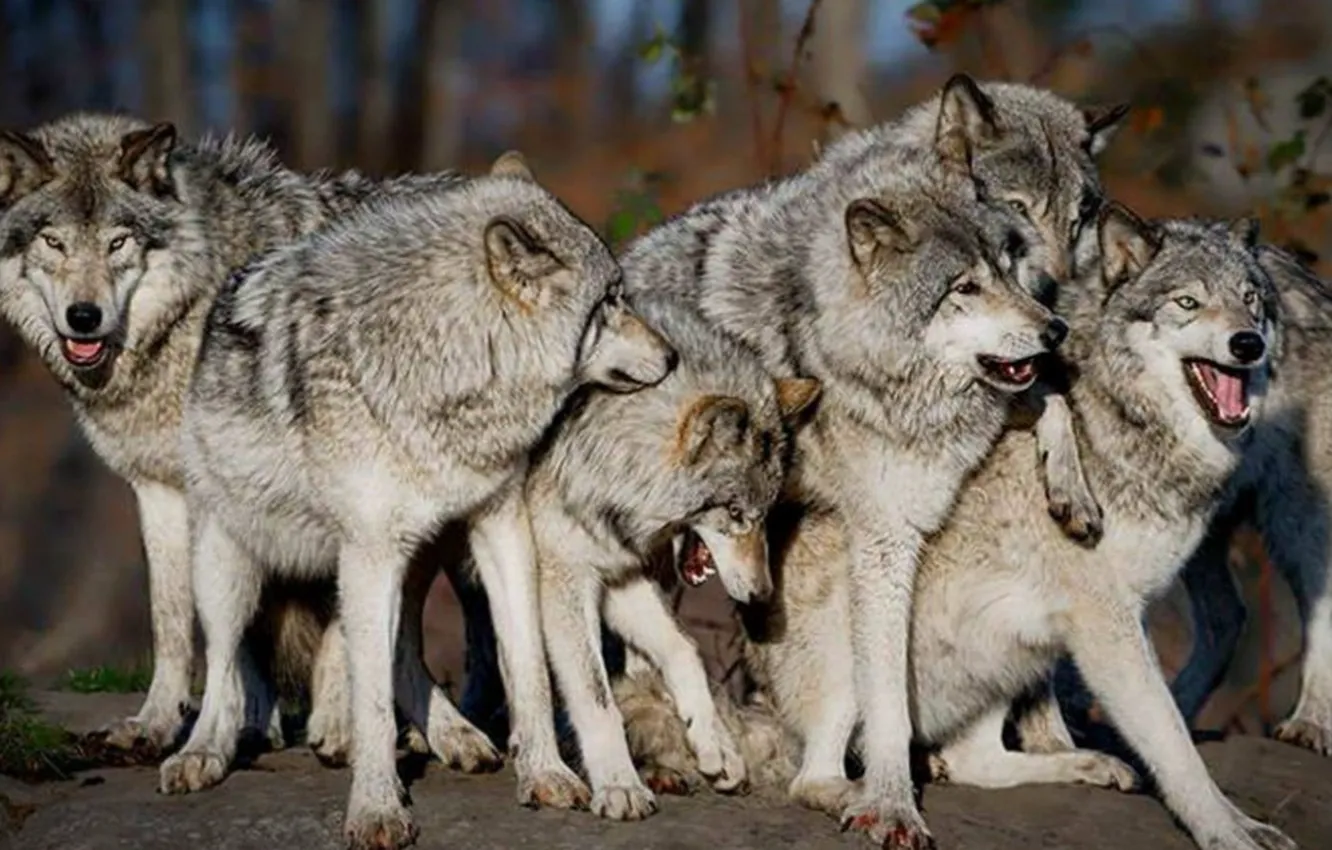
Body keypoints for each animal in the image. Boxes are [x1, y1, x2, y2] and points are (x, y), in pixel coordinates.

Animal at [0, 113, 479, 760]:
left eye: (118, 242)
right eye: (54, 242)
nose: (84, 317)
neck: (192, 310)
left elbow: (333, 615)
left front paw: (333, 724)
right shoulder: (163, 490)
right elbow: (179, 618)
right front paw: (174, 724)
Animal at [159, 157, 675, 850]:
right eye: (612, 301)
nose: (673, 355)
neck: (447, 366)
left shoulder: (501, 527)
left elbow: (527, 669)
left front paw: (545, 775)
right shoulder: (371, 552)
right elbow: (373, 703)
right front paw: (378, 809)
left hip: (413, 560)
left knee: (398, 650)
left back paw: (454, 735)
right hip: (231, 566)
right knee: (223, 665)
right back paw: (203, 753)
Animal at [519, 288, 820, 820]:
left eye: (765, 514)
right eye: (735, 513)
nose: (762, 595)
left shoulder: (618, 574)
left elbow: (684, 648)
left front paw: (715, 746)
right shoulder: (566, 580)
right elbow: (598, 699)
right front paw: (620, 785)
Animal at [624, 206, 1295, 850]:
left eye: (1252, 301)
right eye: (1188, 303)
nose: (1247, 343)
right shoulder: (1107, 623)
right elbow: (1176, 746)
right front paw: (1230, 832)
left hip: (1007, 652)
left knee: (975, 761)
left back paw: (1077, 765)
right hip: (865, 654)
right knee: (813, 778)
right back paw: (866, 797)